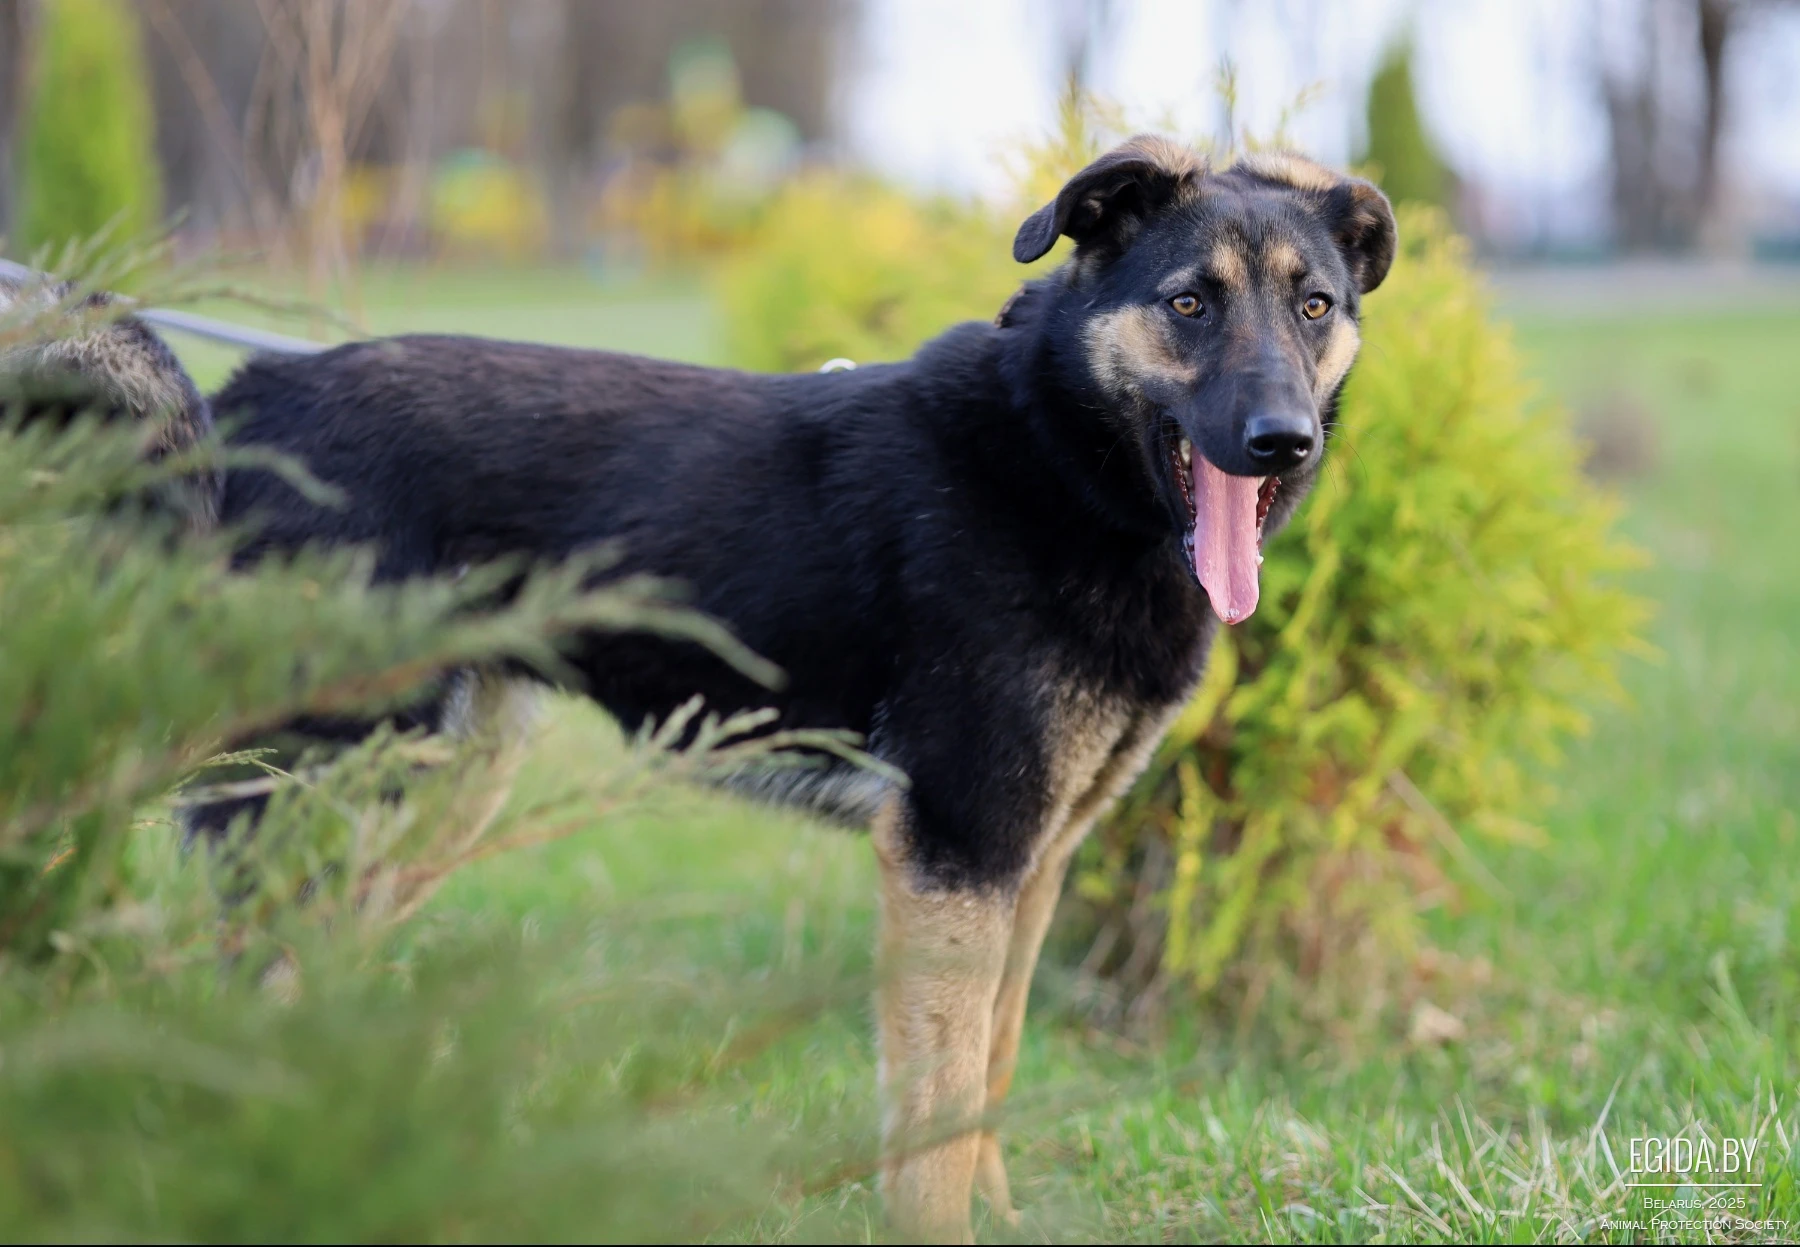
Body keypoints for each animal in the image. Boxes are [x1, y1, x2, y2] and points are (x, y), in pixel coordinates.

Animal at [5, 138, 1393, 1241]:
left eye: (1314, 304)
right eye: (1190, 302)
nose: (1281, 440)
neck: (1057, 454)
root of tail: (251, 397)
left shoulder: (1033, 859)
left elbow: (989, 1071)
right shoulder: (955, 853)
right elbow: (935, 1117)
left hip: (432, 783)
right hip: (318, 783)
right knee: (228, 977)